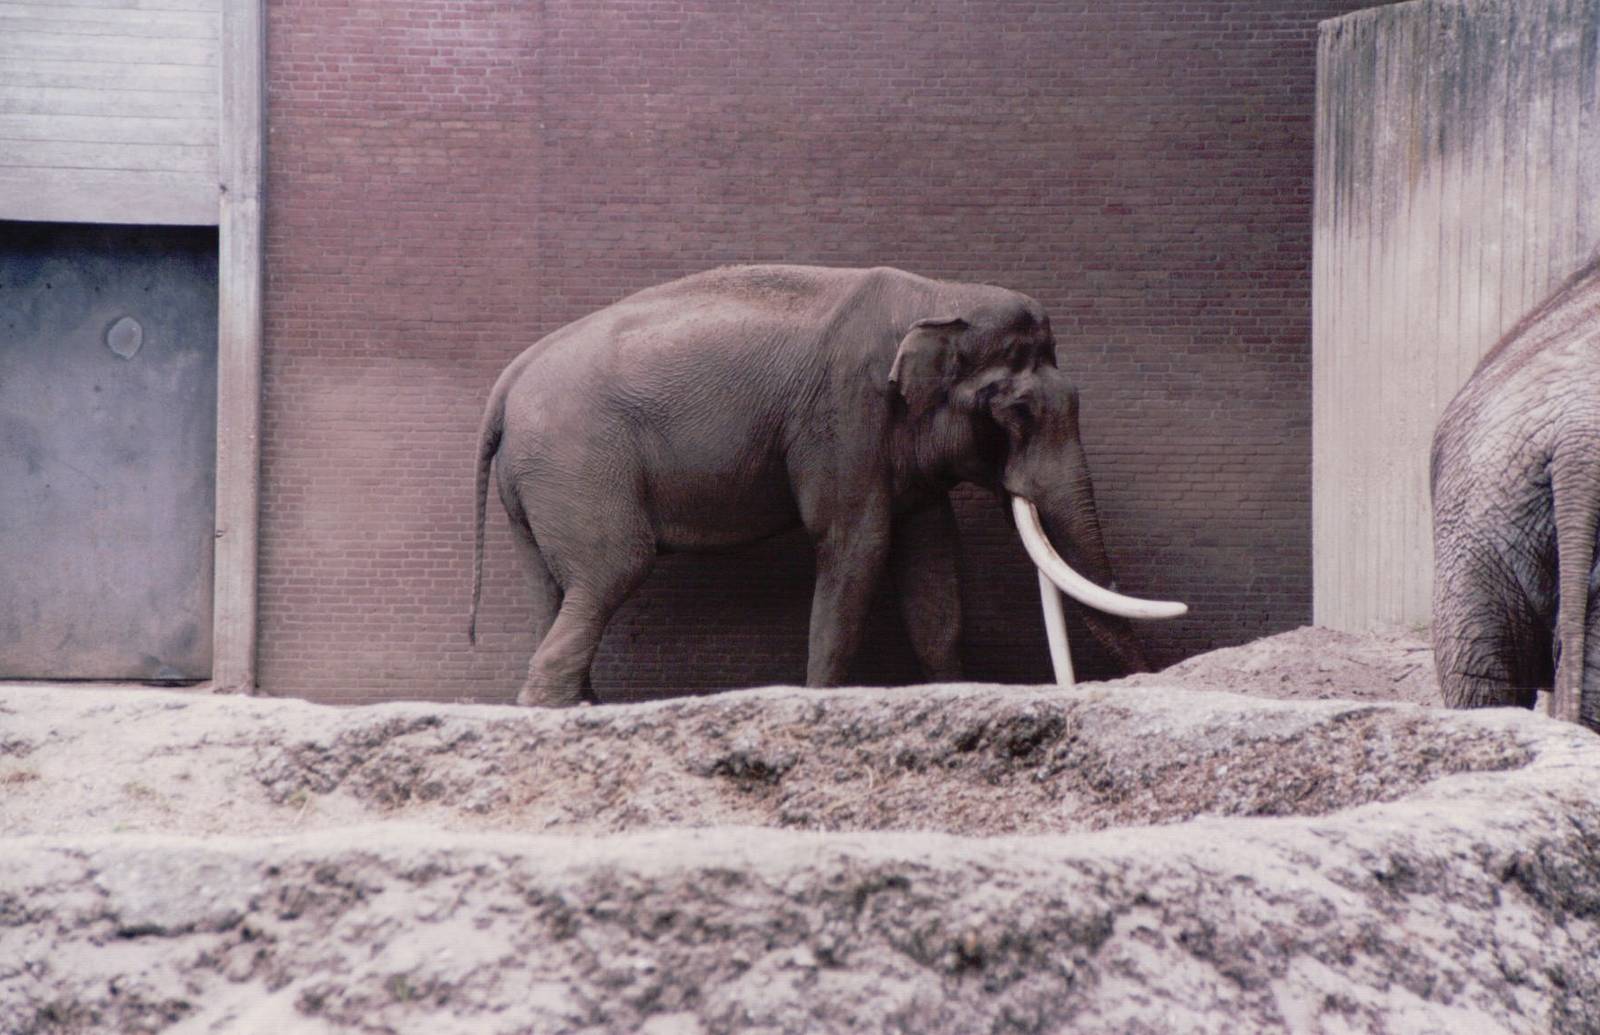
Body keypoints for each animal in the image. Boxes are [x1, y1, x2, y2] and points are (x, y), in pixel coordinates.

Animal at [469, 264, 1184, 706]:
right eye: (1018, 412)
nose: (1152, 677)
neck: (937, 297)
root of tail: (508, 379)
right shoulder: (844, 416)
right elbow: (857, 547)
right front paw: (819, 701)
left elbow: (932, 569)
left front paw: (951, 691)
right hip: (578, 465)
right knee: (611, 572)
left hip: (533, 490)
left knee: (554, 591)